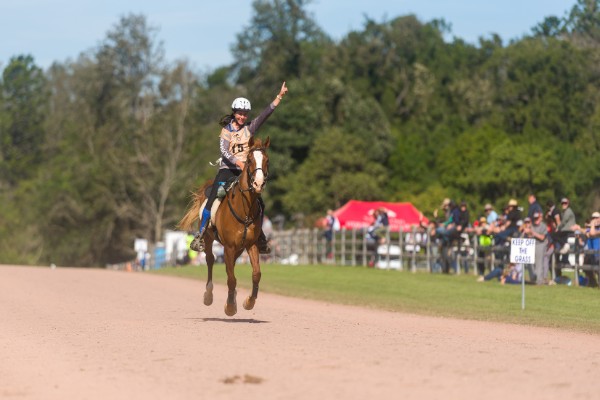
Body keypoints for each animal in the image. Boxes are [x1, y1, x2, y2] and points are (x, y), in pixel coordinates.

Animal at [176, 136, 270, 318]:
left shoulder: (251, 245)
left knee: (230, 265)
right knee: (211, 260)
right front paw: (230, 306)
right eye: (249, 160)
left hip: (238, 248)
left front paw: (249, 302)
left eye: (267, 160)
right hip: (209, 238)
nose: (258, 183)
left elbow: (256, 274)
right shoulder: (229, 246)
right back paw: (208, 295)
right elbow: (231, 278)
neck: (244, 208)